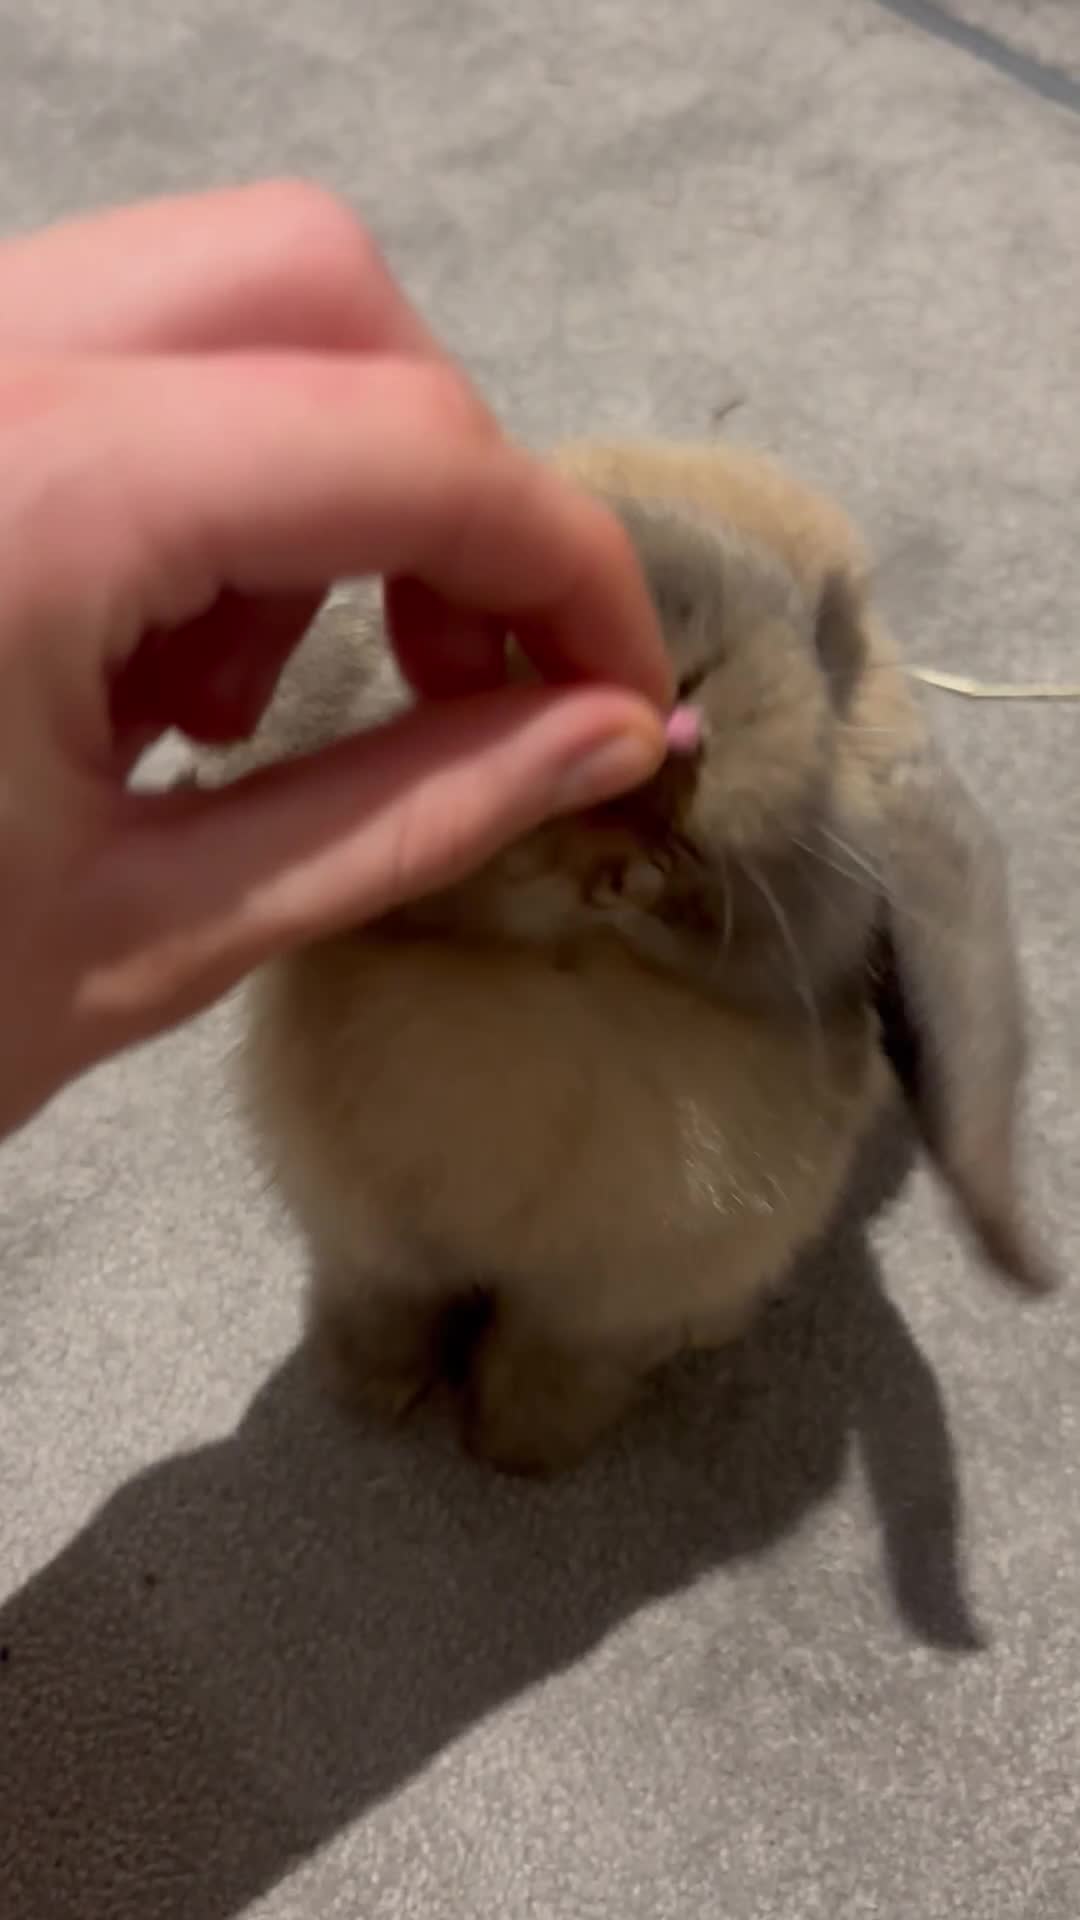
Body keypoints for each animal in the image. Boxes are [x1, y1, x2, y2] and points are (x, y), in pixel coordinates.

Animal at [194, 435, 1055, 1475]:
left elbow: (730, 934)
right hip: (366, 1234)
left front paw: (631, 879)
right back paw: (375, 1390)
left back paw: (520, 1443)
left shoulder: (800, 923)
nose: (665, 685)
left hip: (618, 1290)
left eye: (825, 634)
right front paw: (556, 854)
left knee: (563, 1352)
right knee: (390, 1299)